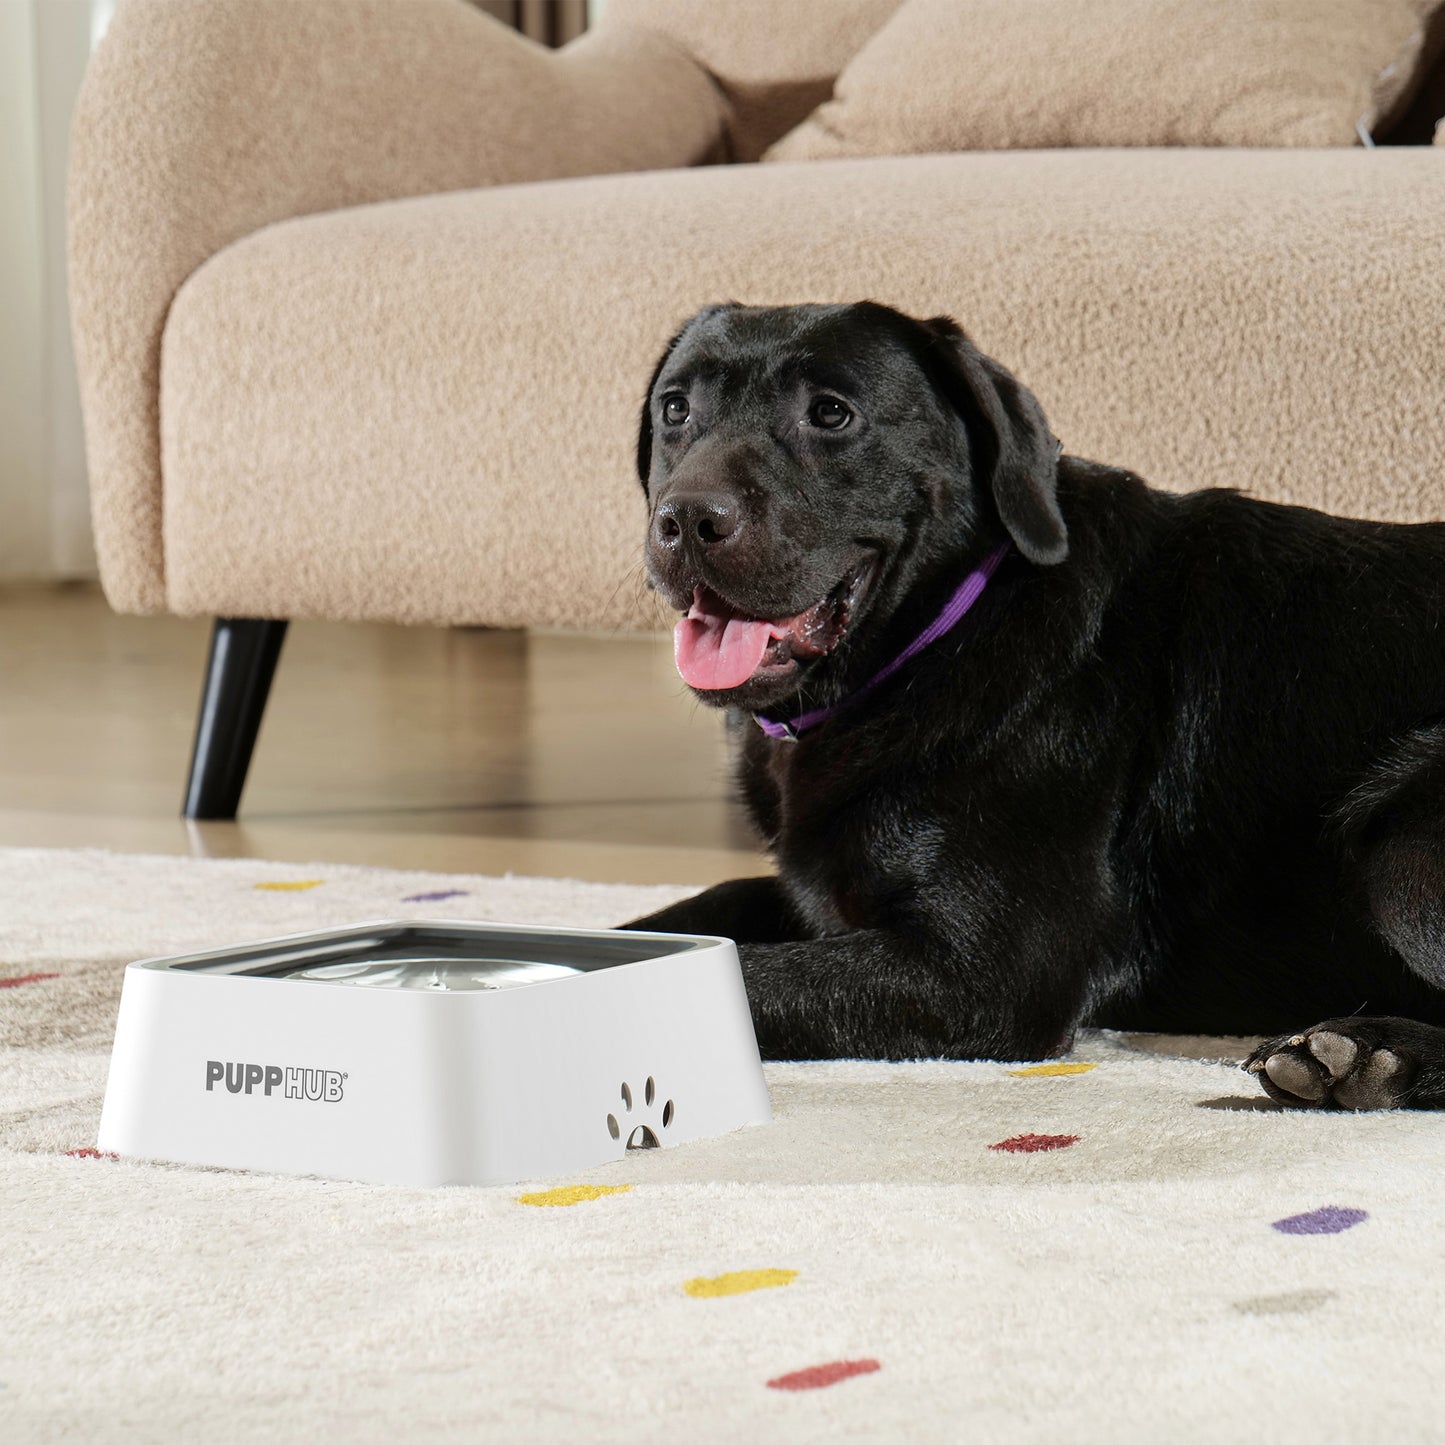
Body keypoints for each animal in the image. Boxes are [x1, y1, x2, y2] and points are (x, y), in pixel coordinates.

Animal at [627, 299, 1445, 1109]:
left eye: (831, 413)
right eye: (676, 409)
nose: (687, 519)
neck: (938, 636)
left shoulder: (986, 975)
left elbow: (742, 973)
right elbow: (696, 913)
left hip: (1395, 841)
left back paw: (1367, 1056)